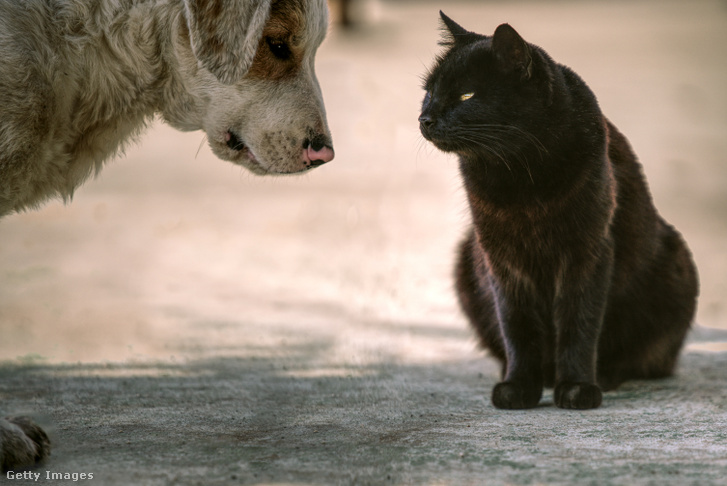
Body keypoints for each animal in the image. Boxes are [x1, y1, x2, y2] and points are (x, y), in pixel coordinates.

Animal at [420, 12, 700, 410]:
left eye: (466, 95)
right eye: (429, 91)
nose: (425, 118)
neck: (518, 174)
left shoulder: (588, 252)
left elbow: (578, 322)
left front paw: (578, 387)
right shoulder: (502, 259)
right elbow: (517, 326)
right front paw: (519, 386)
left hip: (676, 264)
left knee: (648, 358)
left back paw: (604, 375)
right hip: (465, 259)